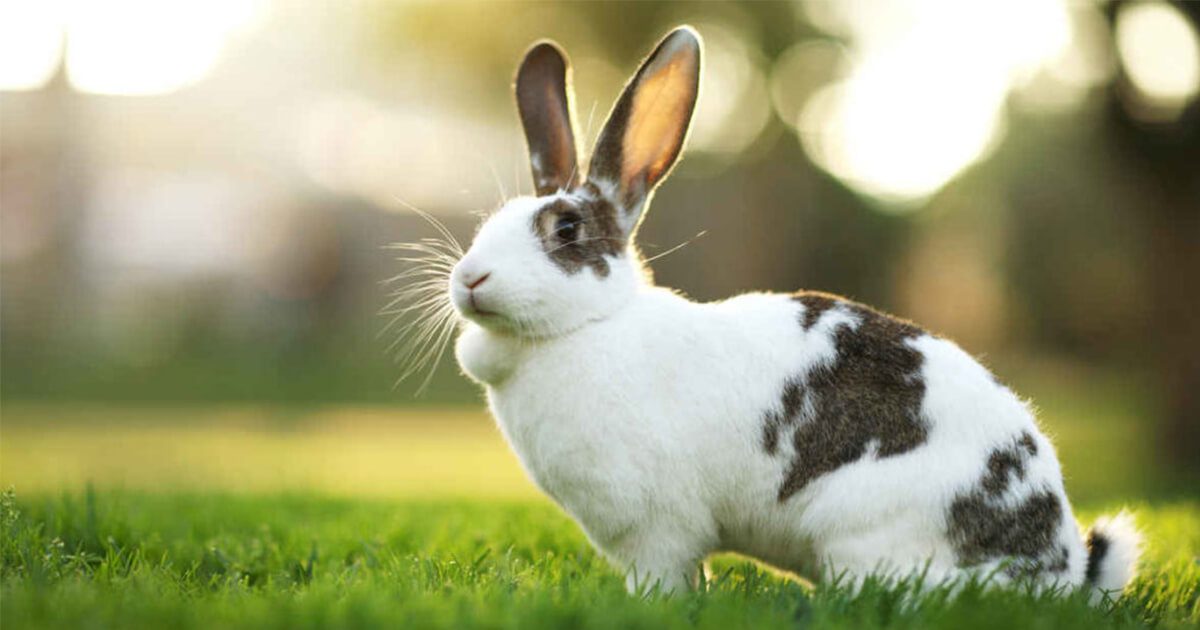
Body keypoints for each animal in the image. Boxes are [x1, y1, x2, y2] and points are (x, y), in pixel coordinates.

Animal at [445, 26, 1141, 599]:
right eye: (490, 222)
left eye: (565, 229)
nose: (469, 278)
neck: (589, 327)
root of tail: (1057, 566)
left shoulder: (656, 531)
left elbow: (664, 579)